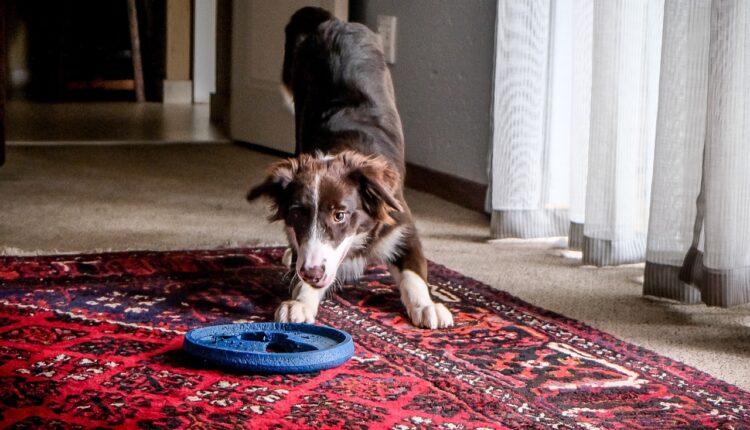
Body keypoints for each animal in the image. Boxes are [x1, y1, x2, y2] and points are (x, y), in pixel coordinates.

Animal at [250, 6, 456, 330]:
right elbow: (302, 259)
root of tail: (336, 23)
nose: (311, 273)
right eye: (296, 214)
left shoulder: (402, 226)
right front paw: (300, 301)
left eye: (340, 215)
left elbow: (414, 275)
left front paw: (427, 306)